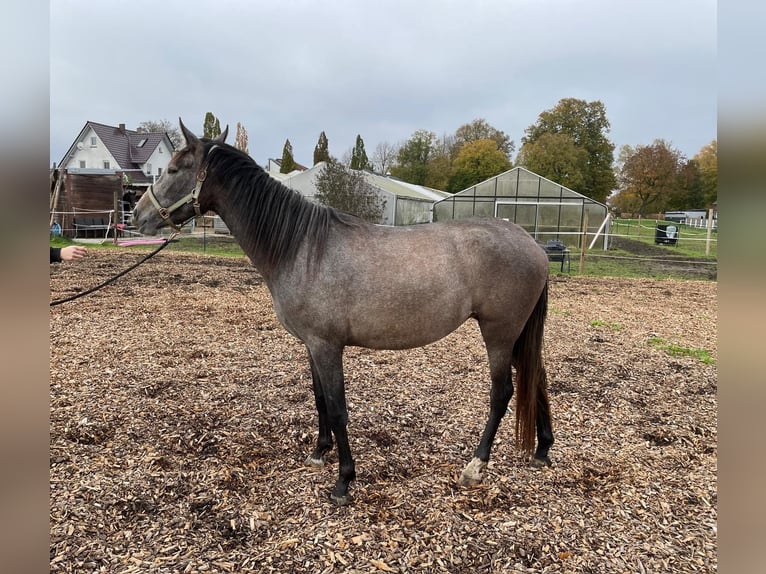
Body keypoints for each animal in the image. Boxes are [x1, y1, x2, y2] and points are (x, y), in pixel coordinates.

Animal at [135, 119, 556, 506]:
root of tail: (532, 244)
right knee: (537, 378)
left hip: (499, 333)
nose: (139, 215)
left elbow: (338, 408)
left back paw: (475, 466)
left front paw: (343, 481)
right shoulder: (312, 344)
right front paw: (319, 452)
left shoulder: (327, 345)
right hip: (519, 335)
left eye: (173, 169)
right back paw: (542, 451)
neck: (301, 247)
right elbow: (320, 398)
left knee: (502, 393)